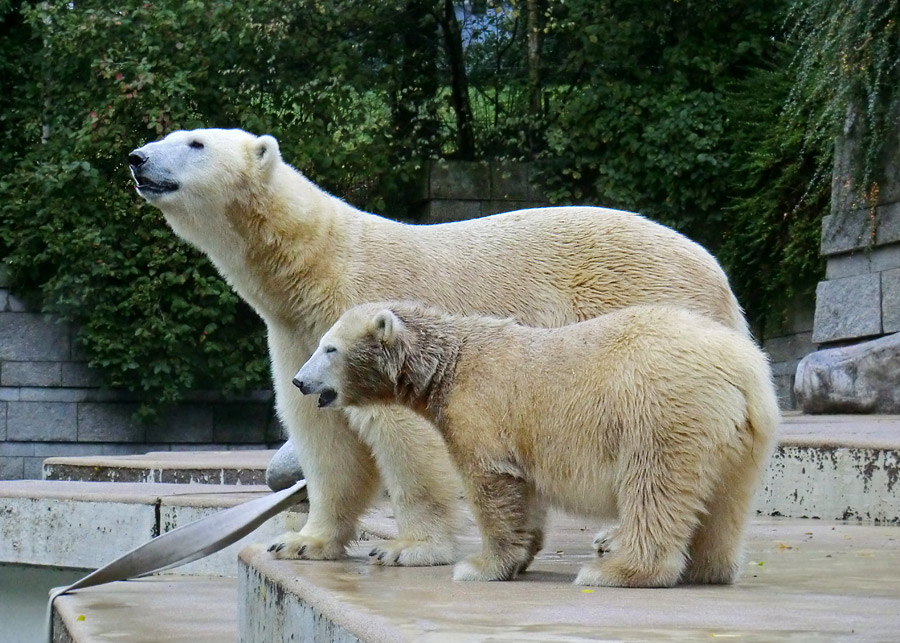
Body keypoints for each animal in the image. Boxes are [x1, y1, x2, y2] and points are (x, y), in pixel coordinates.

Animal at [130, 128, 748, 568]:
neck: (316, 264)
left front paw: (409, 549)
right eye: (169, 134)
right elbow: (324, 434)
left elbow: (404, 435)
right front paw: (304, 541)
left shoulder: (371, 312)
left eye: (195, 142)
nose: (136, 158)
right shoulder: (298, 334)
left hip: (640, 309)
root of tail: (719, 275)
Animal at [292, 302, 776, 588]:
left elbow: (491, 482)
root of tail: (743, 369)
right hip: (741, 438)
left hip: (660, 407)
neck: (447, 364)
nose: (298, 381)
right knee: (725, 501)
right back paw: (706, 568)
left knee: (653, 486)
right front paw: (520, 556)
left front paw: (480, 566)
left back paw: (614, 570)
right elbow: (527, 490)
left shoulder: (481, 407)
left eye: (329, 348)